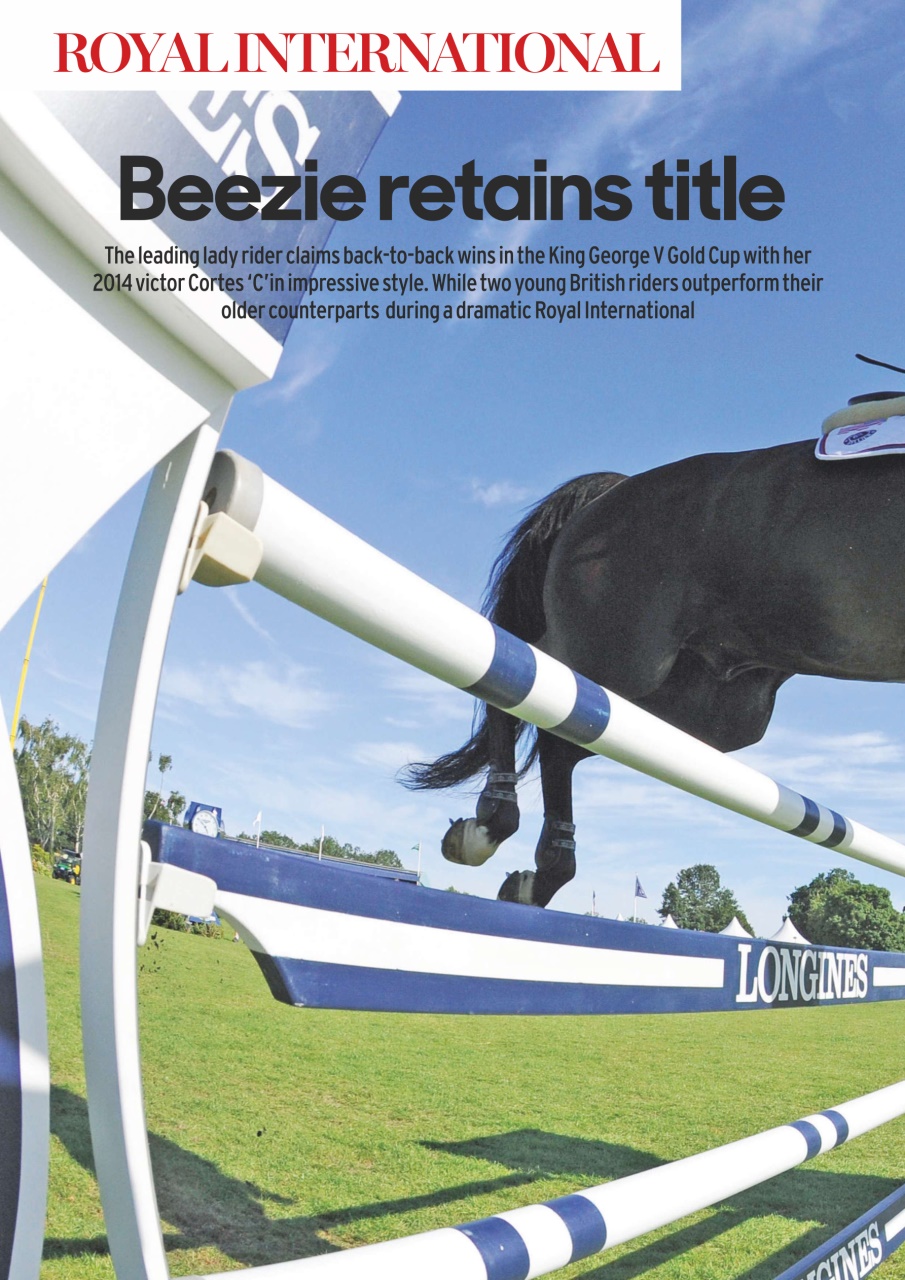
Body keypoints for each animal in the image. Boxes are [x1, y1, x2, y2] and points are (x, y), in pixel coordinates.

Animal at [404, 428, 905, 908]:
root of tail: (615, 491)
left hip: (703, 709)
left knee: (563, 737)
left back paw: (540, 876)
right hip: (617, 654)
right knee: (521, 672)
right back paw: (491, 824)